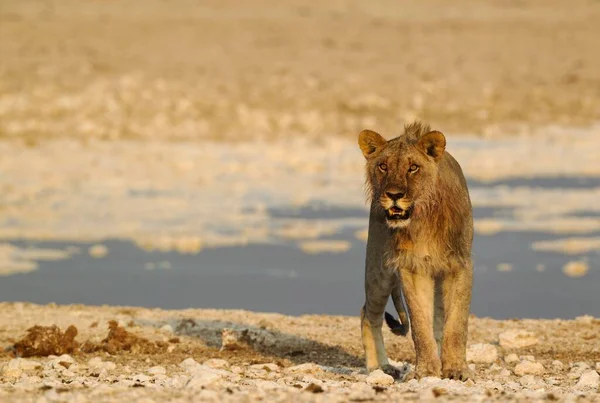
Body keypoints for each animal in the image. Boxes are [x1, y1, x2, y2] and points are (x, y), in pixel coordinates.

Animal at [356, 120, 474, 382]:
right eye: (383, 166)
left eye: (413, 168)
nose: (394, 195)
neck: (422, 220)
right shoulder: (411, 267)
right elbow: (420, 325)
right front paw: (427, 371)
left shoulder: (459, 265)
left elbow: (456, 324)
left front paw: (455, 369)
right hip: (378, 269)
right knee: (368, 314)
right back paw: (379, 367)